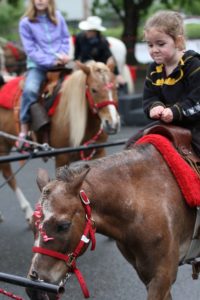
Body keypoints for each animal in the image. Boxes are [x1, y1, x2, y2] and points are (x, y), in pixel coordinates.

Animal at [0, 61, 119, 224]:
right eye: (94, 90)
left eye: (116, 87)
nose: (112, 124)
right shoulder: (61, 157)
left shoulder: (100, 151)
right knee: (8, 175)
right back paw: (27, 210)